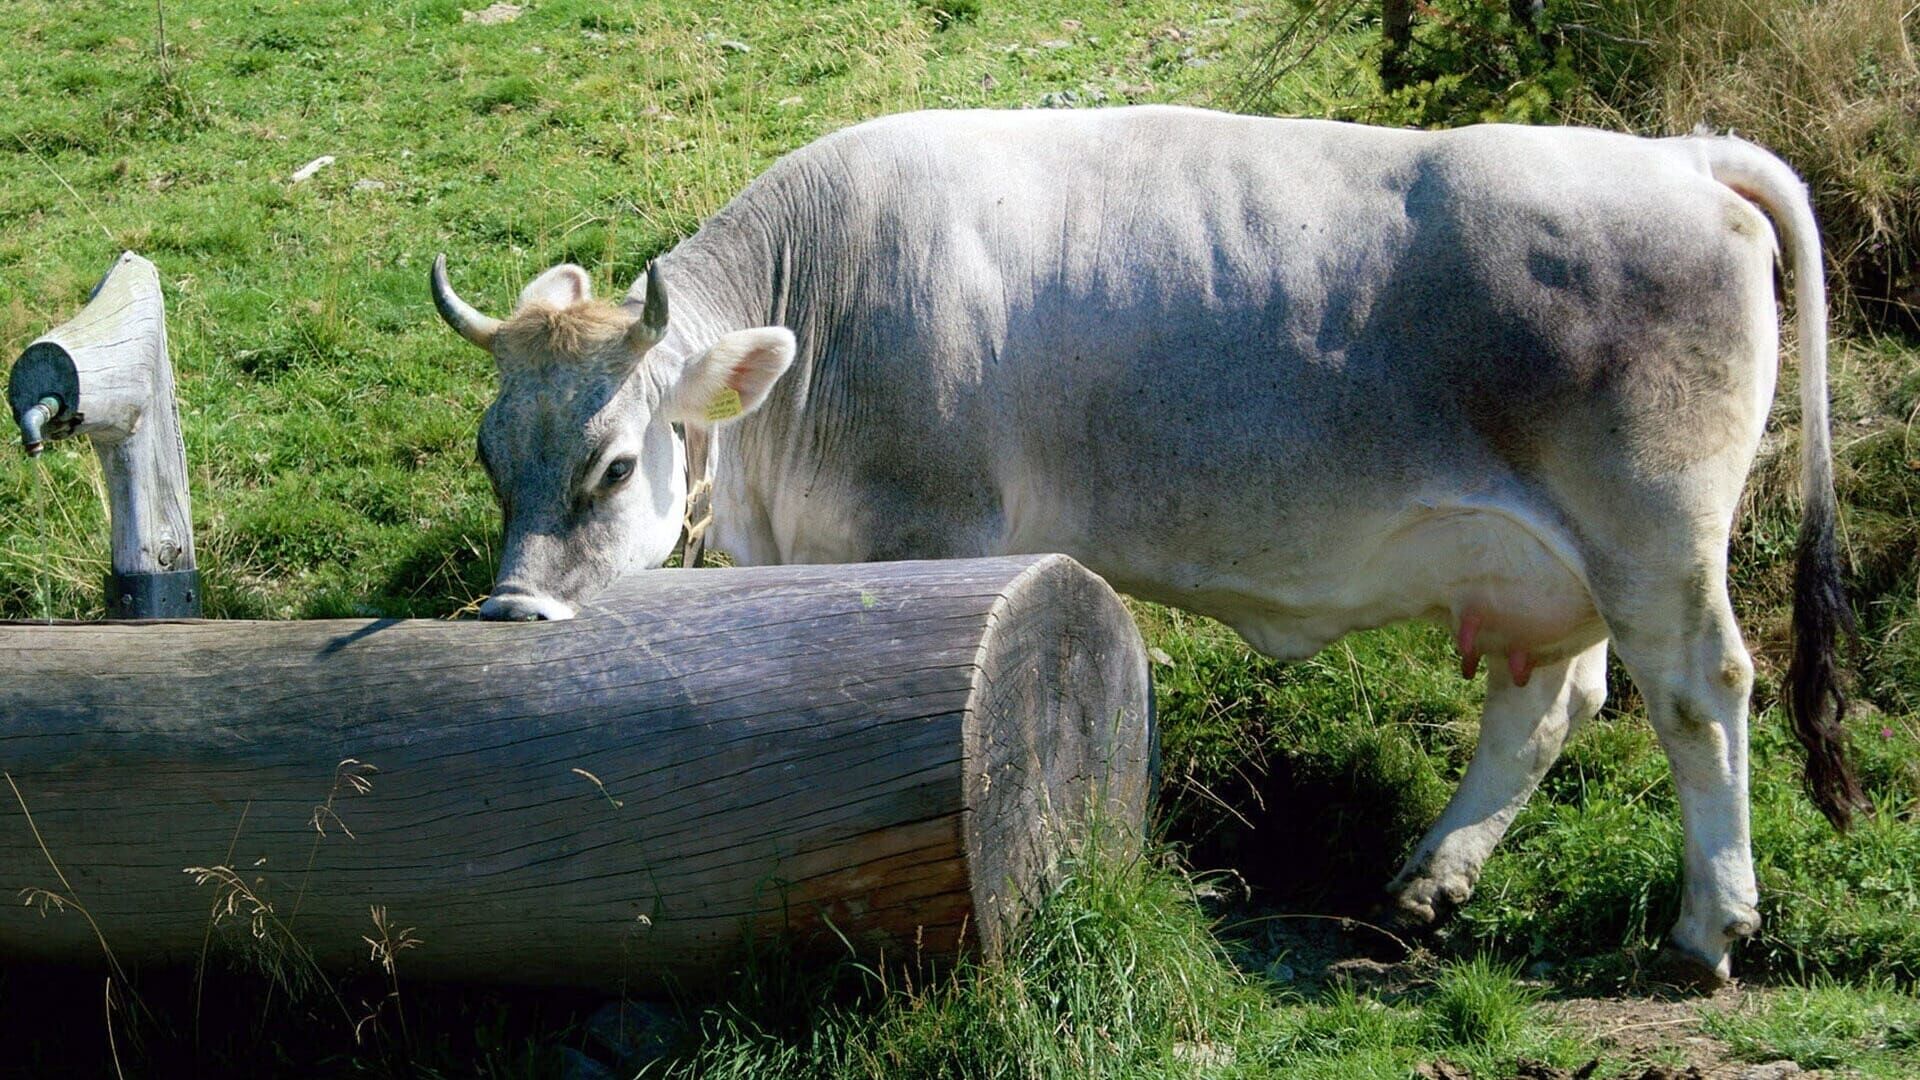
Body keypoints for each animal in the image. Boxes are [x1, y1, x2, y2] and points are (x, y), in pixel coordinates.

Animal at [432, 105, 1858, 980]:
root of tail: (1686, 159)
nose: (510, 615)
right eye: (493, 455)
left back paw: (1710, 923)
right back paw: (1427, 881)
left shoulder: (930, 529)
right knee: (1551, 702)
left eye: (616, 464)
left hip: (1653, 538)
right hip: (1539, 566)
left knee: (1701, 693)